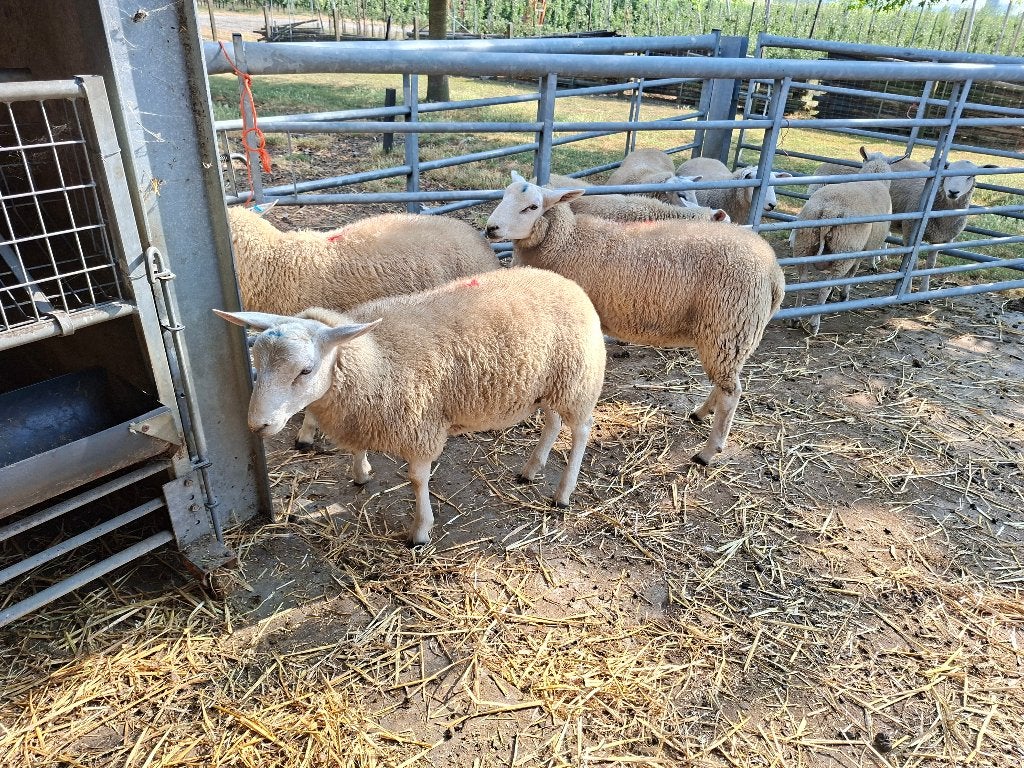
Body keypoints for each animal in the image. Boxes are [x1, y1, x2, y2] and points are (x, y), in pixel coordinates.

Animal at [213, 266, 606, 546]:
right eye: (256, 362)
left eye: (305, 370)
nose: (257, 424)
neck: (374, 357)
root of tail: (568, 283)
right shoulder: (363, 413)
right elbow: (357, 448)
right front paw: (360, 473)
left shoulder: (420, 427)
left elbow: (417, 479)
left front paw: (420, 531)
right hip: (551, 384)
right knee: (552, 423)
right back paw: (531, 468)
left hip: (578, 381)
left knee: (580, 431)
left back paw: (563, 492)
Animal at [484, 171, 785, 466]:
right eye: (504, 196)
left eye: (532, 207)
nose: (490, 229)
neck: (566, 241)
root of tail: (775, 272)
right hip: (730, 335)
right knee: (726, 383)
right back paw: (701, 413)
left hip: (730, 326)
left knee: (731, 393)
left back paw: (708, 452)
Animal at [789, 149, 896, 335]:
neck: (875, 178)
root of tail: (830, 210)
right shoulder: (862, 251)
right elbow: (852, 274)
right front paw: (843, 295)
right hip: (844, 251)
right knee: (825, 286)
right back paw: (814, 323)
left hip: (804, 244)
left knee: (802, 281)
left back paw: (796, 318)